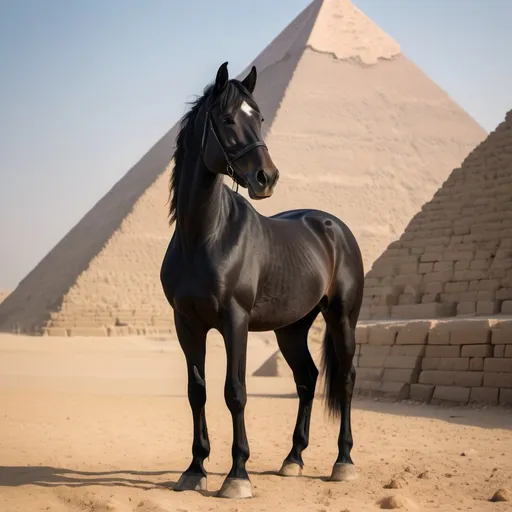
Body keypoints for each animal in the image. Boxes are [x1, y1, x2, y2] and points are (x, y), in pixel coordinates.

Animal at [160, 62, 364, 498]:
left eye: (261, 118)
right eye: (227, 118)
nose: (265, 177)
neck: (204, 236)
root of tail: (332, 225)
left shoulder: (235, 321)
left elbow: (235, 392)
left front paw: (237, 475)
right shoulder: (187, 325)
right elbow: (197, 391)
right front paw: (195, 468)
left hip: (342, 318)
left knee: (345, 379)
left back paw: (343, 461)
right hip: (291, 329)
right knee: (307, 379)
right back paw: (294, 459)